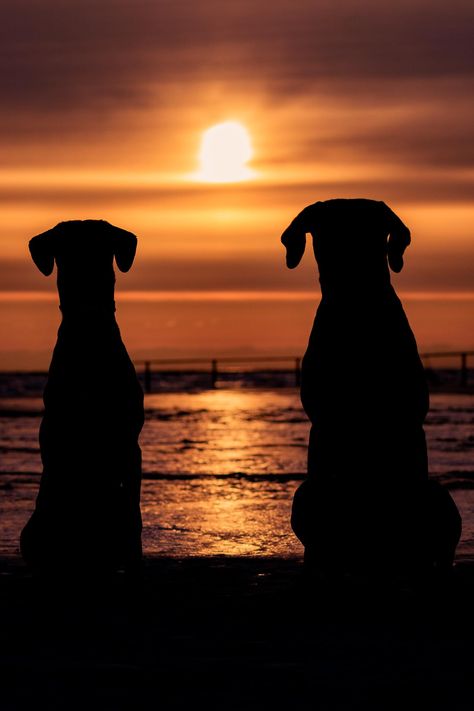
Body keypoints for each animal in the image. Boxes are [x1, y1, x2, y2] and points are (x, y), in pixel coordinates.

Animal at [284, 200, 462, 580]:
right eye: (328, 230)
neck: (357, 305)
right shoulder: (325, 423)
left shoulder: (407, 422)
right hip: (304, 494)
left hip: (438, 495)